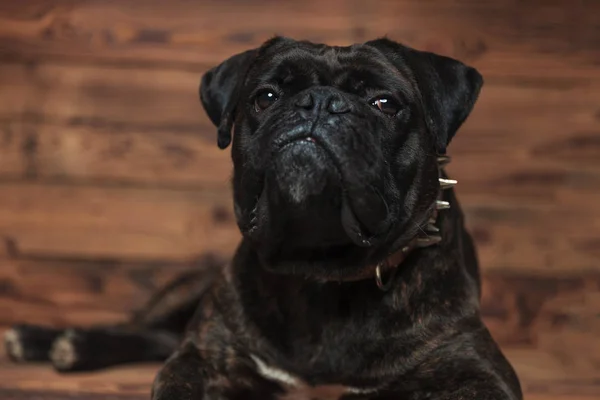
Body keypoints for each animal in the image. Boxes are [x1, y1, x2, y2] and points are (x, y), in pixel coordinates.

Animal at [3, 37, 520, 400]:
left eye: (385, 103)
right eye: (266, 96)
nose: (319, 102)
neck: (322, 271)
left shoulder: (478, 372)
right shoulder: (202, 360)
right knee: (142, 325)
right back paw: (50, 340)